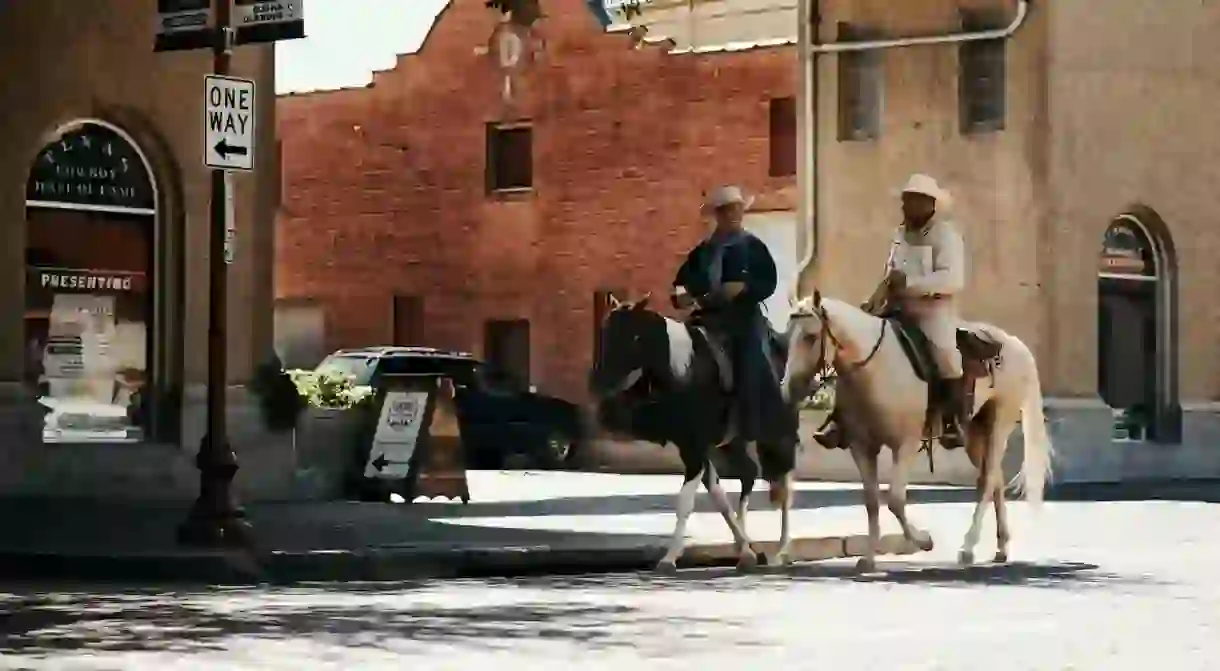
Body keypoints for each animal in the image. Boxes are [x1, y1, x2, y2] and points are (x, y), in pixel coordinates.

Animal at [588, 295, 800, 573]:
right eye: (605, 331)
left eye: (634, 336)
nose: (598, 383)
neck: (685, 371)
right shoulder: (690, 446)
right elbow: (717, 495)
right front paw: (745, 549)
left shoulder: (696, 448)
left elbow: (685, 502)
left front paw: (669, 557)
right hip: (734, 442)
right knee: (749, 474)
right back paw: (748, 548)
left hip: (777, 435)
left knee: (784, 483)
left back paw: (781, 551)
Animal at [785, 295, 1054, 573]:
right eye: (787, 335)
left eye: (811, 337)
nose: (790, 387)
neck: (876, 370)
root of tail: (1015, 344)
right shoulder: (861, 447)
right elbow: (872, 501)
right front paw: (869, 559)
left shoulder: (905, 445)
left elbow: (894, 499)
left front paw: (923, 540)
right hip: (975, 433)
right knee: (996, 479)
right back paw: (1001, 546)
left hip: (999, 424)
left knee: (987, 481)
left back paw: (968, 547)